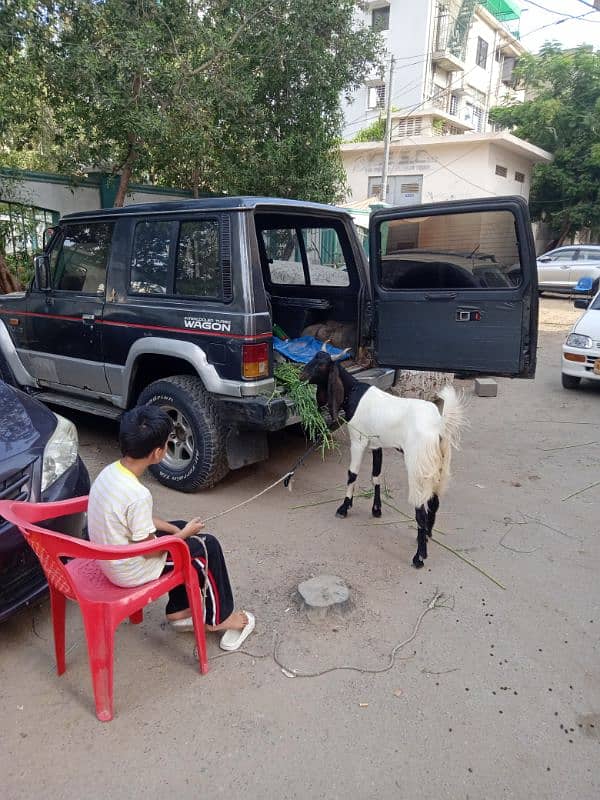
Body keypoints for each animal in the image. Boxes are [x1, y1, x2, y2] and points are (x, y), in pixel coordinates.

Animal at [302, 350, 466, 568]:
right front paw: (376, 509)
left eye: (321, 365)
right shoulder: (376, 444)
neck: (353, 392)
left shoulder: (358, 440)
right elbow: (376, 476)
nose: (300, 374)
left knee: (420, 510)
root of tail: (439, 426)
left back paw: (419, 557)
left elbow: (352, 474)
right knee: (434, 501)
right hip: (439, 466)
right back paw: (427, 536)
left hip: (418, 466)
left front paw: (344, 508)